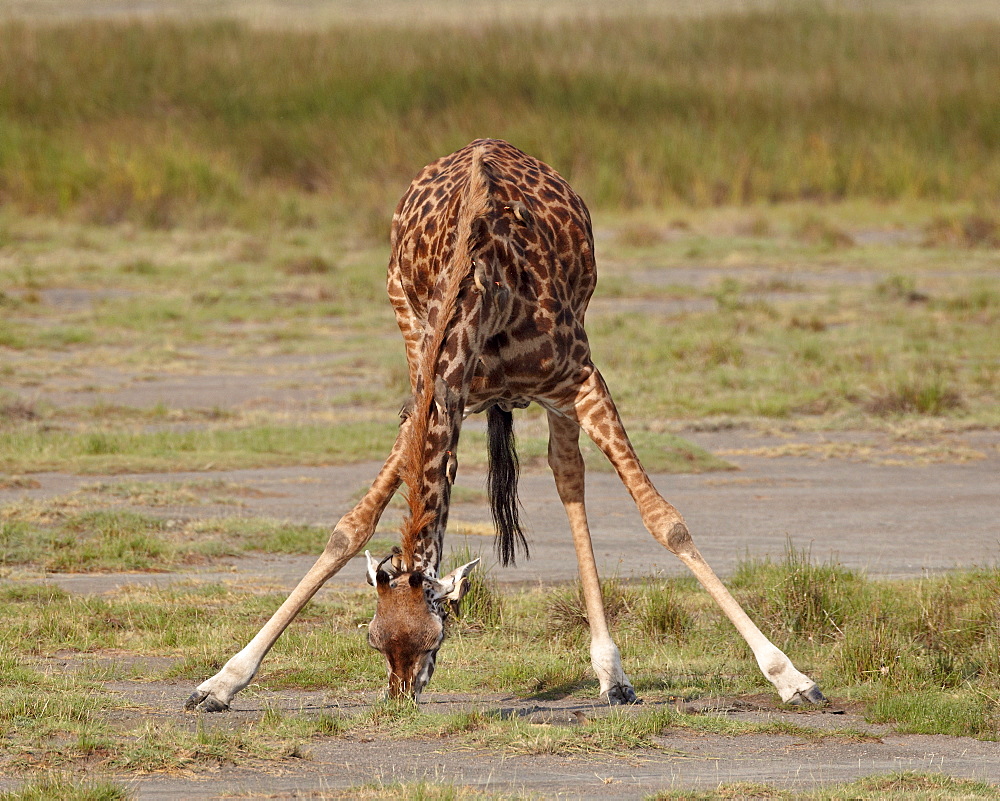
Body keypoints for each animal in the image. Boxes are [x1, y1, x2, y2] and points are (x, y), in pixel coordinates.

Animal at [184, 141, 824, 708]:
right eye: (373, 639)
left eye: (434, 639)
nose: (401, 697)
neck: (481, 294)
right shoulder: (433, 394)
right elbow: (350, 527)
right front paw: (219, 683)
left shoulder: (580, 378)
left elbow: (666, 522)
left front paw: (791, 678)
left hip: (563, 374)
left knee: (569, 476)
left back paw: (613, 675)